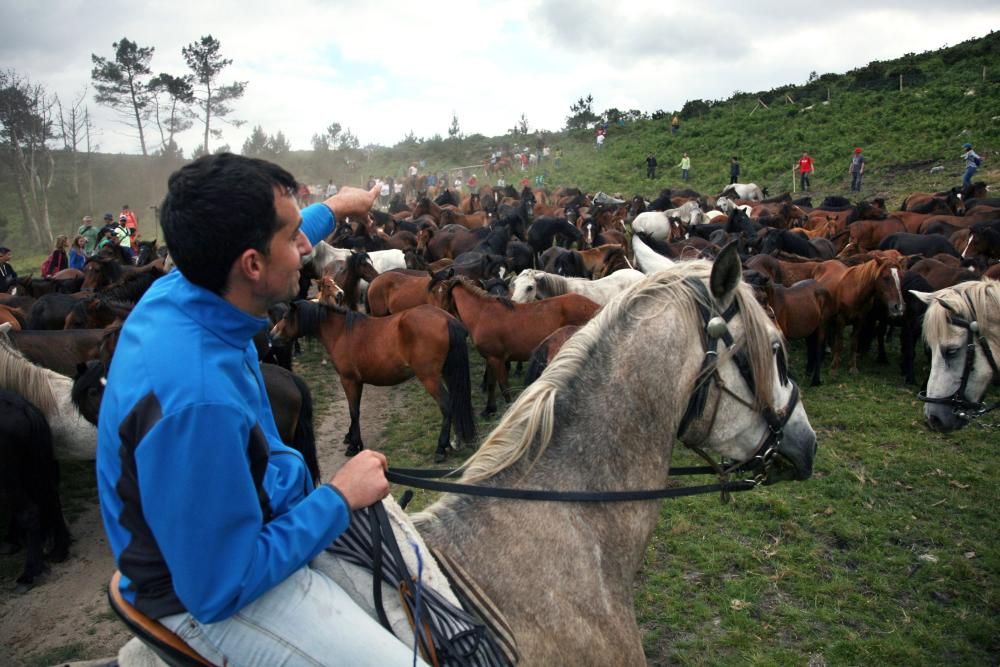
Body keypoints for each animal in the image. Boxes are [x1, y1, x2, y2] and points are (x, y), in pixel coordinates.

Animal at [268, 302, 474, 462]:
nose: (271, 336)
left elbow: (353, 411)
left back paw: (441, 448)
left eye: (285, 317)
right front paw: (351, 438)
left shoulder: (349, 381)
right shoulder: (357, 382)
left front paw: (353, 446)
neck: (341, 332)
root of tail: (446, 319)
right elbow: (355, 411)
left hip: (429, 378)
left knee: (447, 406)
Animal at [426, 276, 596, 412]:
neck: (482, 314)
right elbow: (491, 384)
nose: (437, 315)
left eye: (441, 295)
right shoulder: (490, 359)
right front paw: (489, 409)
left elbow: (504, 386)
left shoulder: (497, 359)